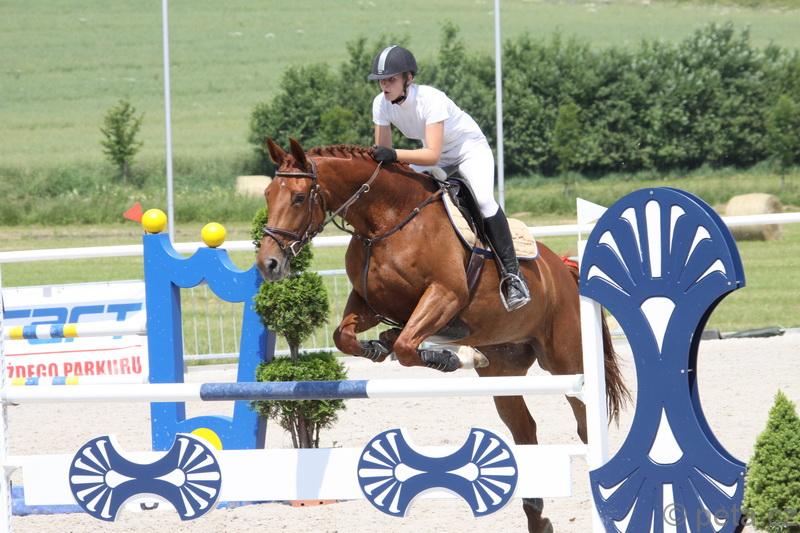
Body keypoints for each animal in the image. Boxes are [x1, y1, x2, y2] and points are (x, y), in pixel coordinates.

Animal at [256, 138, 628, 533]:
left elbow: (408, 345)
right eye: (267, 194)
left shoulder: (445, 294)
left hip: (568, 362)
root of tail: (566, 269)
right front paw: (379, 345)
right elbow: (346, 336)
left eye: (298, 198)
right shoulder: (367, 301)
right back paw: (537, 517)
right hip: (503, 370)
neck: (386, 221)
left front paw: (448, 356)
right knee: (525, 429)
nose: (268, 264)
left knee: (585, 423)